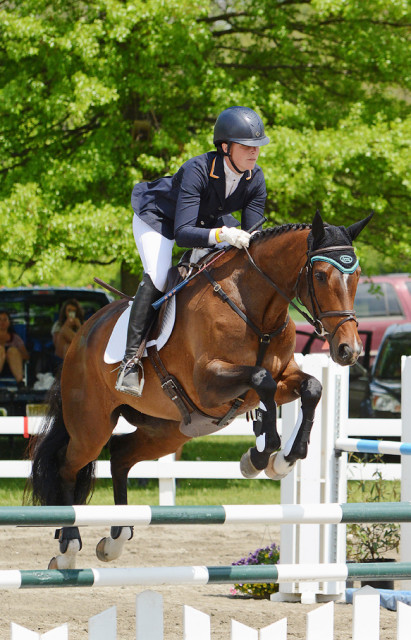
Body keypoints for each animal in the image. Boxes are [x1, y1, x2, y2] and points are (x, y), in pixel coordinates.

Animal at [26, 212, 374, 568]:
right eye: (319, 275)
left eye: (358, 275)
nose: (349, 350)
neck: (255, 307)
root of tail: (80, 337)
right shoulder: (209, 384)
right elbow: (261, 378)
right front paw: (262, 454)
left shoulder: (283, 378)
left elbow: (312, 387)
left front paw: (284, 459)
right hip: (91, 426)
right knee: (68, 466)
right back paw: (68, 547)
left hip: (167, 430)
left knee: (121, 455)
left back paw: (116, 539)